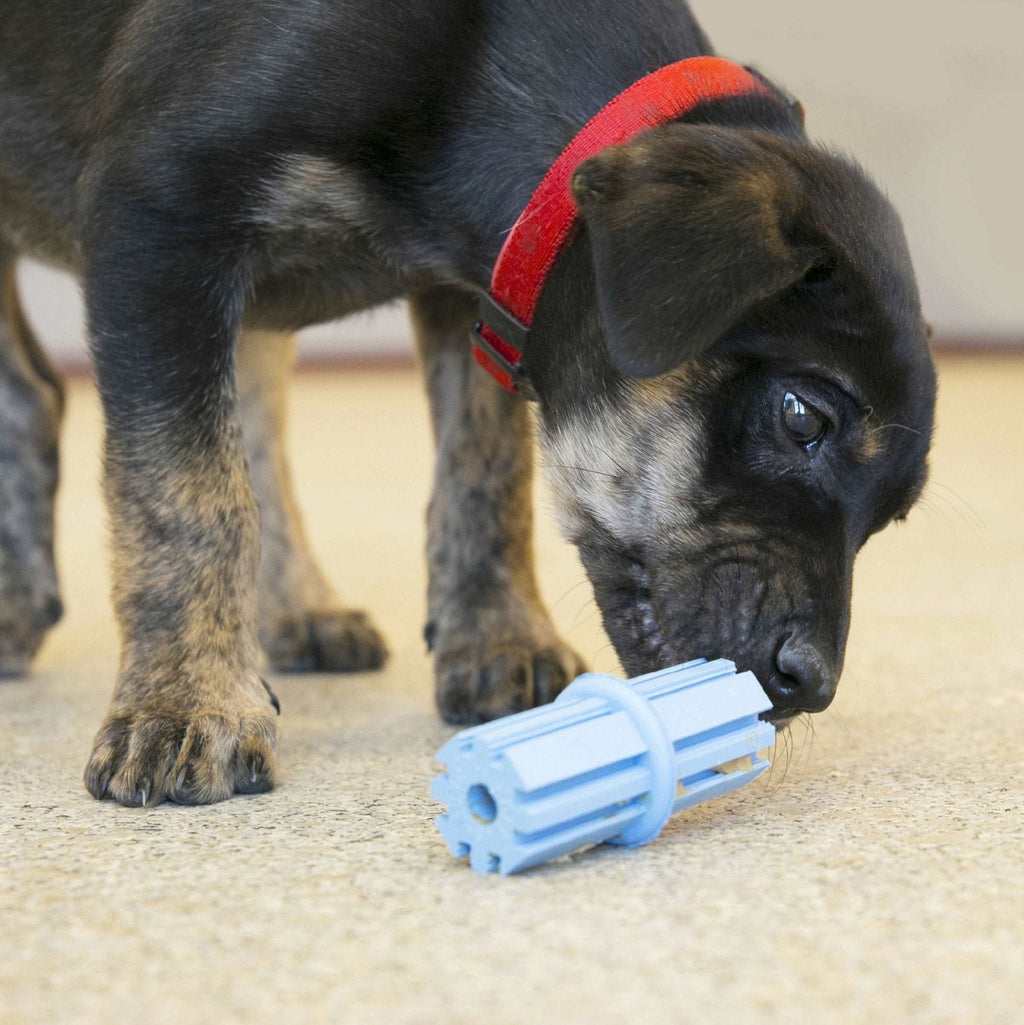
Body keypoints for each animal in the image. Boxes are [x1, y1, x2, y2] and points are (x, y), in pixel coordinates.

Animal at [0, 0, 938, 803]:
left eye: (889, 517)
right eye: (803, 415)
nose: (812, 683)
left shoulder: (476, 294)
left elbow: (485, 469)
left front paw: (497, 637)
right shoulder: (158, 225)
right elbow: (187, 492)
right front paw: (187, 703)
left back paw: (297, 607)